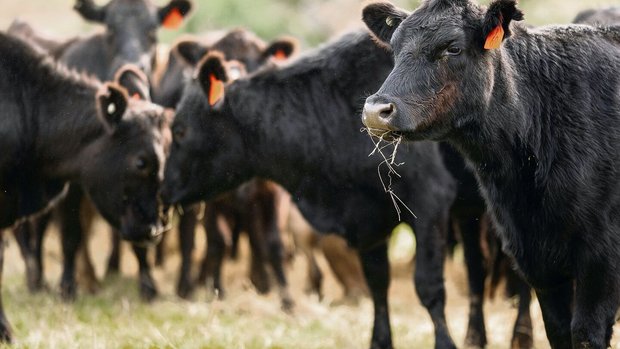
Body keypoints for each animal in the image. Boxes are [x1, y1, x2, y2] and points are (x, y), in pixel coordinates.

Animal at [162, 30, 458, 348]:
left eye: (179, 130)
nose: (163, 188)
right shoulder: (369, 220)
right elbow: (378, 284)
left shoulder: (430, 202)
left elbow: (429, 287)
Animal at [360, 0, 620, 346]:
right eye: (396, 47)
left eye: (453, 48)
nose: (376, 111)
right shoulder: (538, 261)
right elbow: (559, 331)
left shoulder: (600, 260)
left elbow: (586, 334)